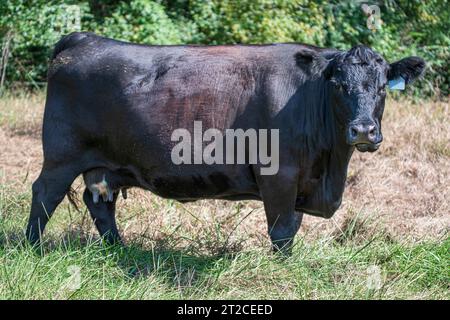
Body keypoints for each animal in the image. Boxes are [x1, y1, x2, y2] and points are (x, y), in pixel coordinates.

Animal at [26, 32, 428, 252]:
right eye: (339, 85)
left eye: (382, 87)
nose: (363, 130)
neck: (329, 168)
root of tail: (85, 39)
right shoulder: (279, 175)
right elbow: (282, 231)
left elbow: (292, 226)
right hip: (61, 157)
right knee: (44, 194)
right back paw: (32, 249)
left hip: (102, 165)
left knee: (100, 204)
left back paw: (119, 251)